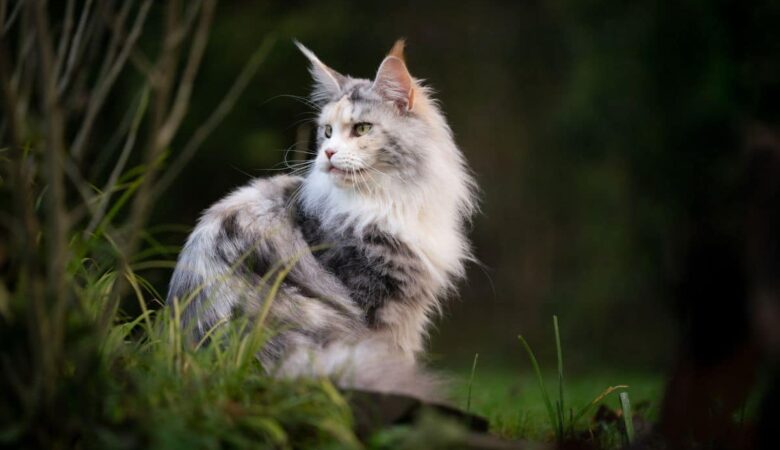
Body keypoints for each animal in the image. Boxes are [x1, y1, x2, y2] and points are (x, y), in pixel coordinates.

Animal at [166, 39, 476, 400]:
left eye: (362, 129)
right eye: (327, 132)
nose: (328, 153)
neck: (384, 200)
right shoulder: (379, 306)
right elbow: (398, 354)